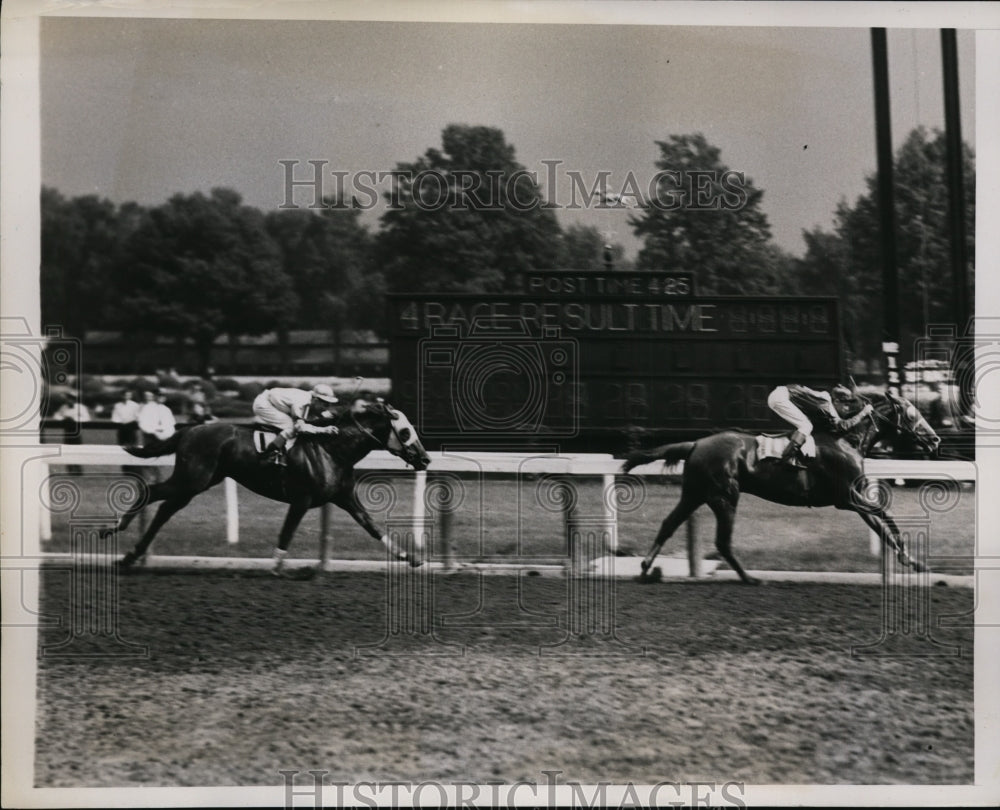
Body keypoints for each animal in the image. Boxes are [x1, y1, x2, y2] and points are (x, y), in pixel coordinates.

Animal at [109, 400, 430, 572]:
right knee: (153, 493)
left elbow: (372, 526)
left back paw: (130, 555)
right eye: (405, 431)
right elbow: (286, 532)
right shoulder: (301, 500)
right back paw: (115, 531)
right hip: (192, 478)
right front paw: (278, 568)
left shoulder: (345, 497)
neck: (333, 450)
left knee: (165, 508)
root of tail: (191, 430)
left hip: (198, 482)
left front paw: (411, 557)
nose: (425, 459)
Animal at [620, 390, 940, 584]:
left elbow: (881, 525)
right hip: (724, 496)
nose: (935, 439)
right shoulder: (847, 496)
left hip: (695, 493)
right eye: (912, 413)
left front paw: (913, 562)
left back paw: (646, 569)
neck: (846, 439)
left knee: (668, 524)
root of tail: (696, 443)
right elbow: (886, 515)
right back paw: (750, 578)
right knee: (722, 541)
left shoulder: (854, 498)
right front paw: (909, 557)